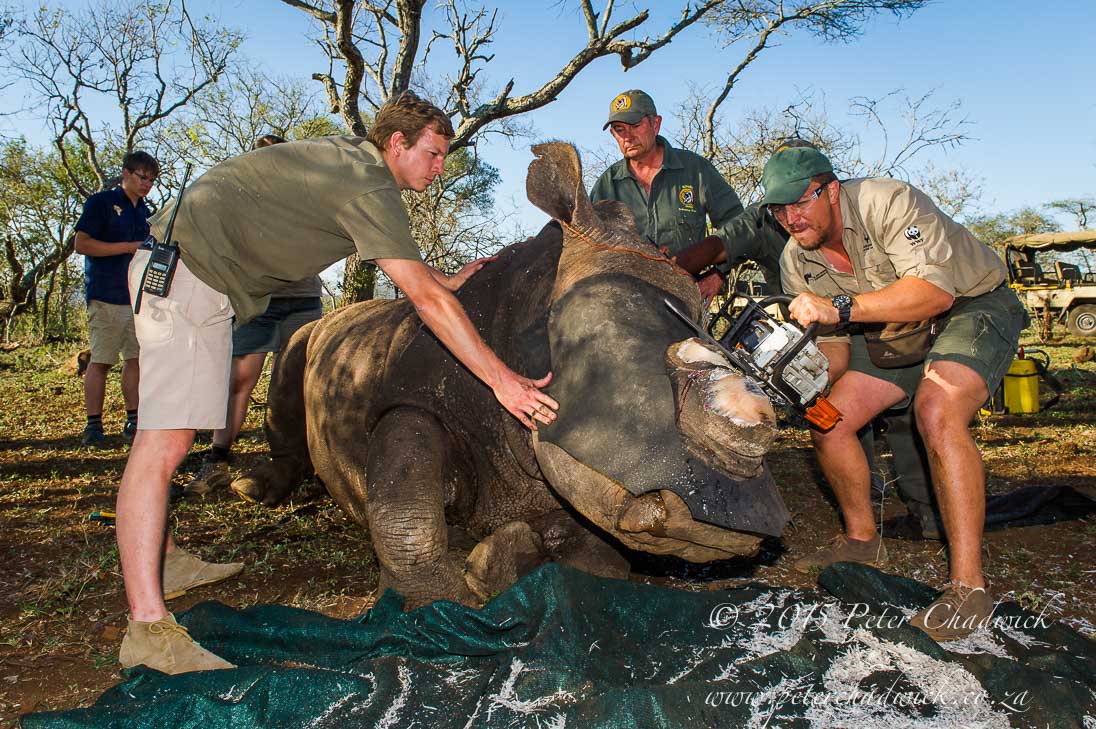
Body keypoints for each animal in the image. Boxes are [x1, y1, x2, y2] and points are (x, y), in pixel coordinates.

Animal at [235, 142, 789, 608]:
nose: (729, 518)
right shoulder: (414, 398)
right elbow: (407, 515)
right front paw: (445, 597)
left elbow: (601, 558)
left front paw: (500, 561)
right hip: (317, 334)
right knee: (291, 351)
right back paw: (251, 488)